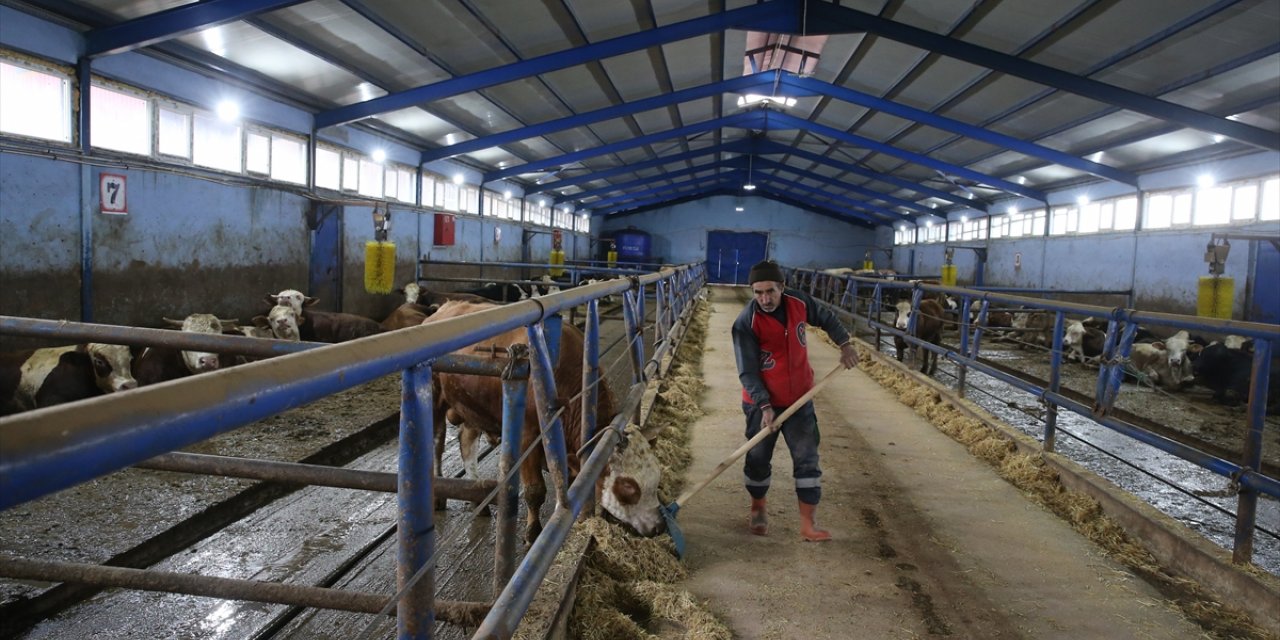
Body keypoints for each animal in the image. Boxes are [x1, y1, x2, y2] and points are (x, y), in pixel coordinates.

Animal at [422, 302, 665, 542]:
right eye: (628, 486)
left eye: (656, 476)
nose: (658, 527)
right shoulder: (527, 438)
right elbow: (535, 491)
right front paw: (533, 531)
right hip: (435, 399)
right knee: (436, 443)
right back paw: (437, 497)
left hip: (471, 407)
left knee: (466, 442)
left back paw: (477, 499)